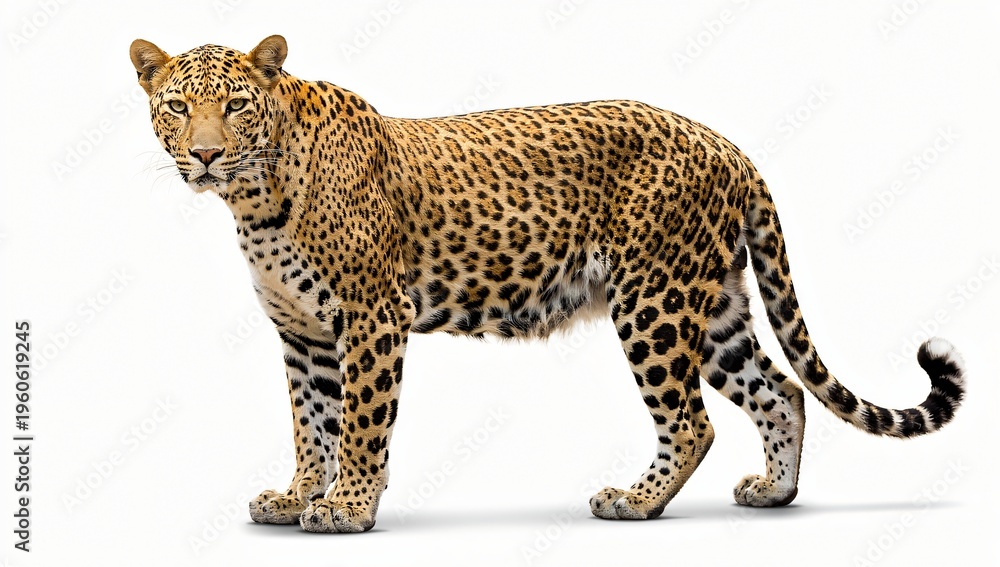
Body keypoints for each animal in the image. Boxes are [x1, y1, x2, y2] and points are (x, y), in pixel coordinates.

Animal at [130, 35, 966, 533]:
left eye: (235, 104)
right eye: (177, 105)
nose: (205, 154)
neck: (256, 199)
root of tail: (727, 144)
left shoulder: (372, 316)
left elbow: (362, 422)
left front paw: (349, 508)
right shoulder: (303, 331)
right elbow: (313, 421)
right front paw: (300, 494)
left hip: (653, 300)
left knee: (691, 419)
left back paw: (634, 501)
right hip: (716, 301)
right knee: (781, 390)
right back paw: (773, 492)